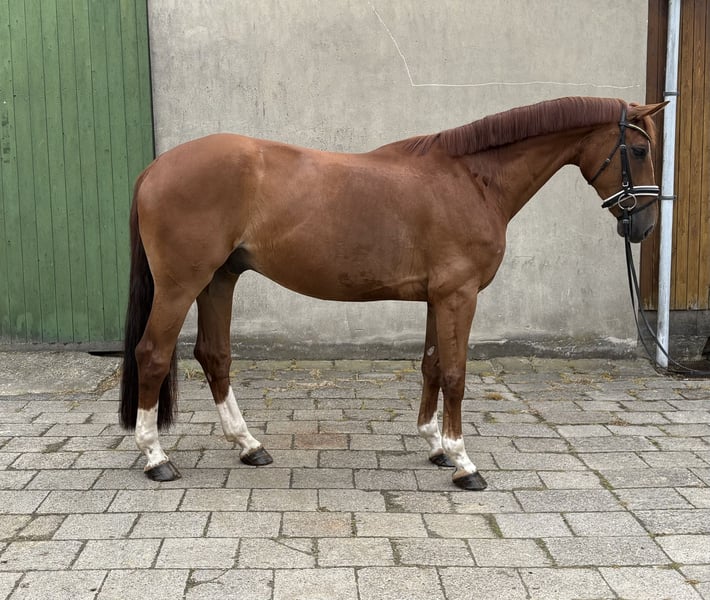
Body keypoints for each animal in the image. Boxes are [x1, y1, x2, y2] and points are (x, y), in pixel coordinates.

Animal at [119, 96, 666, 490]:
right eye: (639, 151)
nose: (643, 226)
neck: (471, 179)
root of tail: (155, 169)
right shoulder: (459, 296)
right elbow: (456, 374)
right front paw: (464, 463)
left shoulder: (437, 297)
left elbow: (431, 365)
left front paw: (436, 445)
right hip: (182, 284)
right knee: (153, 354)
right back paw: (156, 457)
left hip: (219, 279)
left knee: (214, 355)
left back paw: (249, 445)